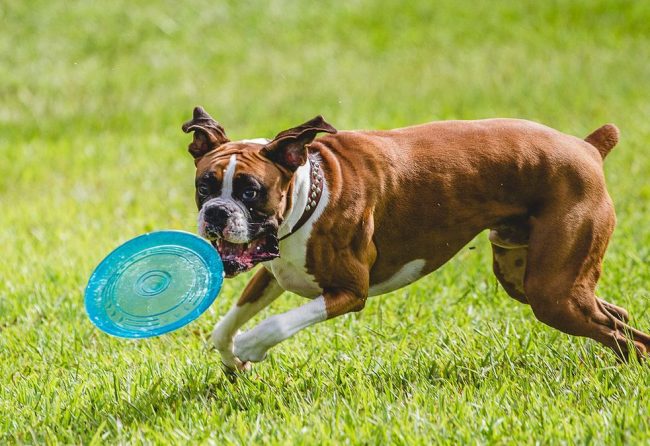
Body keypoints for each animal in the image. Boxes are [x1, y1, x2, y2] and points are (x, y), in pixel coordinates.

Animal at [181, 106, 648, 372]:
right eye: (204, 186)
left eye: (250, 192)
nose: (216, 213)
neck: (310, 191)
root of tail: (588, 147)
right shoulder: (272, 276)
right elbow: (224, 326)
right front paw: (233, 361)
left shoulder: (349, 291)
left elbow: (274, 324)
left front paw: (250, 347)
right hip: (538, 281)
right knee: (617, 319)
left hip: (552, 293)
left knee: (628, 337)